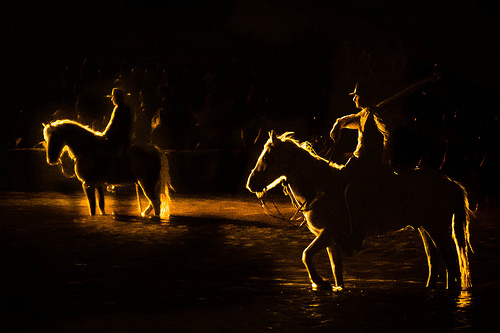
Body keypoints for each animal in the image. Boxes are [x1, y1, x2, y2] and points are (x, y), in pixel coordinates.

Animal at [43, 119, 172, 218]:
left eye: (54, 137)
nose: (51, 160)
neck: (87, 149)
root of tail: (157, 150)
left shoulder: (87, 184)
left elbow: (92, 206)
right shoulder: (97, 184)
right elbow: (101, 205)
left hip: (147, 183)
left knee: (155, 202)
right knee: (153, 202)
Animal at [246, 131, 472, 290]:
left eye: (267, 158)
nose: (250, 184)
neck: (321, 186)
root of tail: (450, 182)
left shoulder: (328, 233)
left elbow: (306, 255)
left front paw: (320, 282)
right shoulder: (329, 239)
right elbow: (336, 269)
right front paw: (334, 287)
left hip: (437, 228)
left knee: (451, 261)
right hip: (425, 229)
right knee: (435, 262)